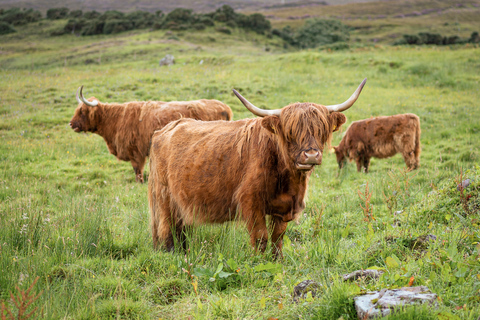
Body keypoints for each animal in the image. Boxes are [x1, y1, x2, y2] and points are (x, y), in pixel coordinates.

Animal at [69, 86, 232, 184]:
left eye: (82, 111)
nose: (70, 124)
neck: (115, 120)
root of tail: (224, 106)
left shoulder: (135, 152)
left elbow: (137, 172)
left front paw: (139, 183)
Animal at [148, 79, 366, 258]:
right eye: (290, 132)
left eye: (321, 130)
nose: (311, 155)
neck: (288, 180)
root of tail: (166, 128)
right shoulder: (251, 202)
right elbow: (261, 237)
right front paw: (258, 262)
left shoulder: (283, 207)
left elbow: (278, 237)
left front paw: (277, 260)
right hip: (165, 197)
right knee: (167, 227)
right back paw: (173, 254)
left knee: (180, 229)